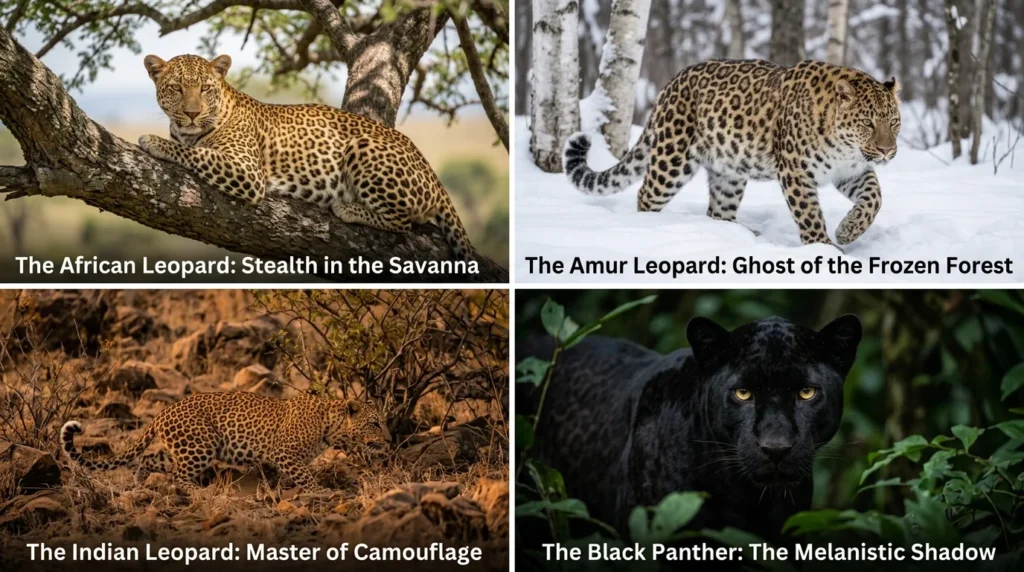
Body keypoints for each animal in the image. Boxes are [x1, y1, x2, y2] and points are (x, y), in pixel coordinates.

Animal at [60, 392, 390, 494]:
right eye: (375, 423)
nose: (389, 439)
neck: (331, 426)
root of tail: (163, 412)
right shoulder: (284, 452)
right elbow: (306, 477)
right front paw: (321, 493)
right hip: (200, 446)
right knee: (179, 476)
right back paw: (199, 492)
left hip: (186, 448)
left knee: (149, 459)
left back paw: (139, 484)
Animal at [138, 53, 473, 261]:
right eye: (176, 88)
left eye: (206, 88)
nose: (192, 114)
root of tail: (431, 172)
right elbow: (195, 148)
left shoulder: (248, 171)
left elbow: (196, 152)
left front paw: (154, 141)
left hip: (363, 147)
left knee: (403, 222)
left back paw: (347, 208)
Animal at [564, 59, 901, 247]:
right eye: (868, 123)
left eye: (894, 122)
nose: (887, 151)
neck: (845, 147)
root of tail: (670, 84)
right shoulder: (796, 171)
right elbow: (808, 213)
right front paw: (823, 248)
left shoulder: (852, 171)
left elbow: (875, 198)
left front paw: (848, 231)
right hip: (673, 159)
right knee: (646, 194)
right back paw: (649, 229)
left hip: (729, 172)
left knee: (718, 211)